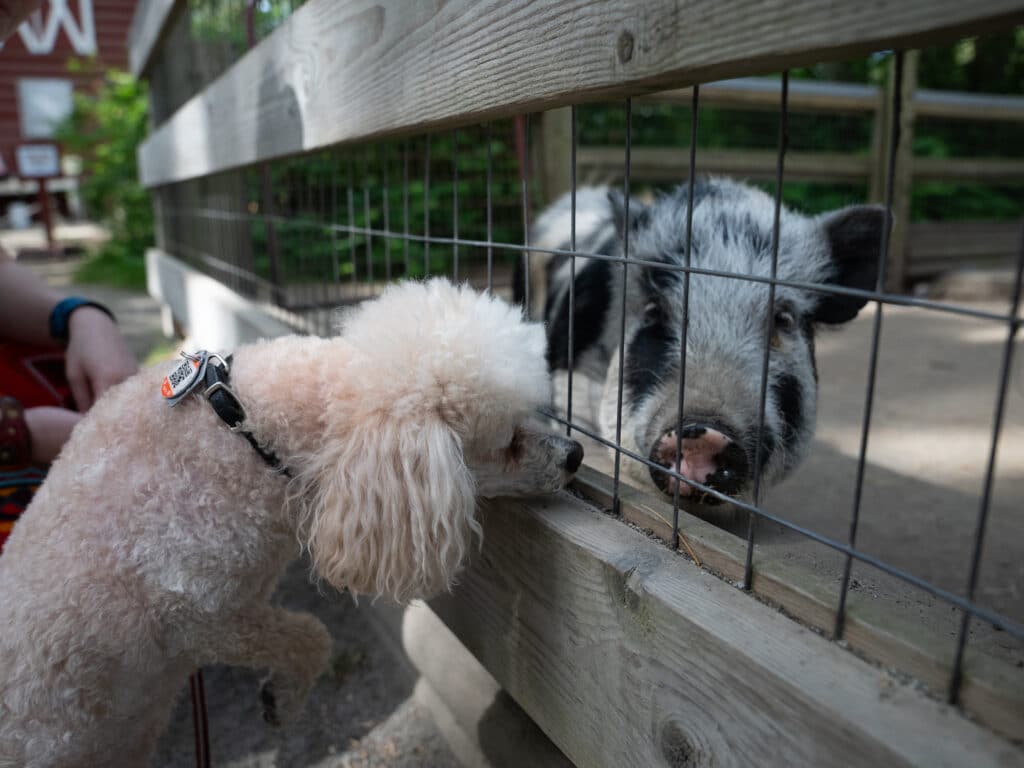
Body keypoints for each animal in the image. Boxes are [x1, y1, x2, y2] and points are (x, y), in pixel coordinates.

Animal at [0, 280, 585, 765]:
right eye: (509, 442)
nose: (577, 454)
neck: (244, 429)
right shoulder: (198, 614)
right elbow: (311, 634)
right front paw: (282, 700)